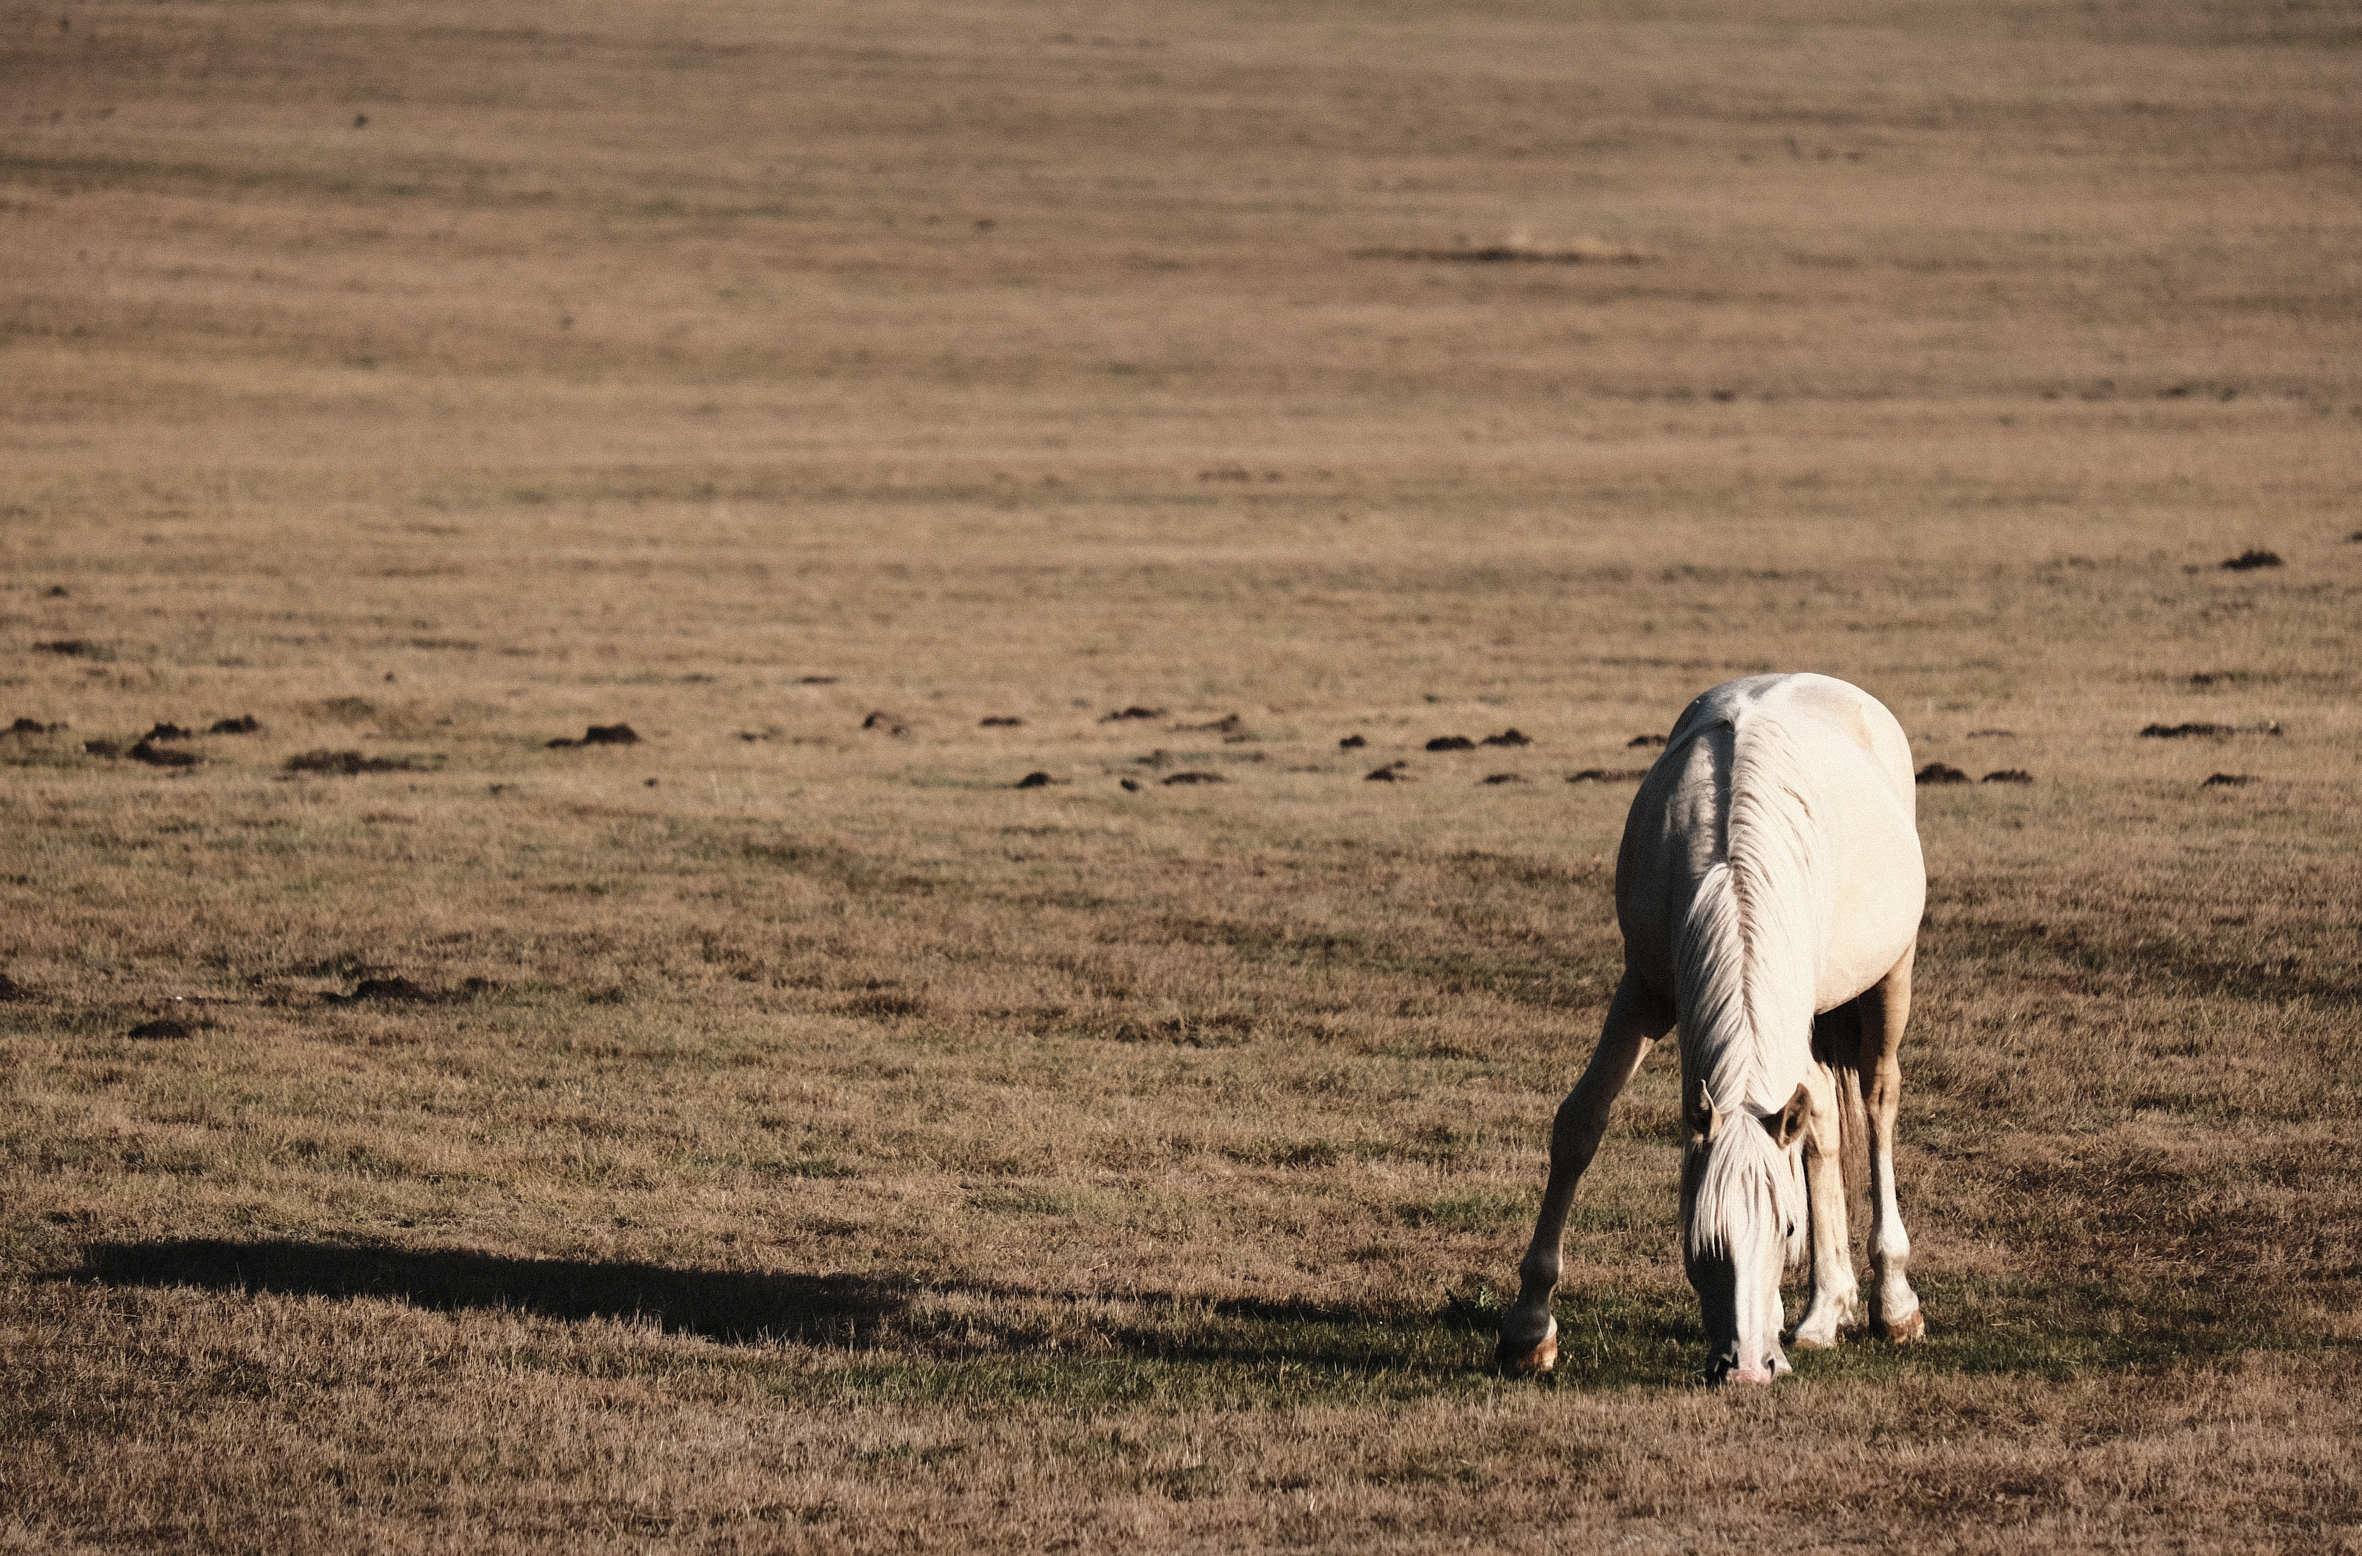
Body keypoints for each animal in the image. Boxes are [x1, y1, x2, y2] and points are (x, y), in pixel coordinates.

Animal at [1498, 672, 1928, 1384]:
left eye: (1786, 1231)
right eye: (1702, 1238)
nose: (1747, 1370)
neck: (1731, 868)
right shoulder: (1644, 992)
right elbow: (1580, 1124)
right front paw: (1528, 1330)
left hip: (1891, 976)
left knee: (1877, 1103)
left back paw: (1891, 1304)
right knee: (1823, 1123)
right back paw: (1826, 1308)